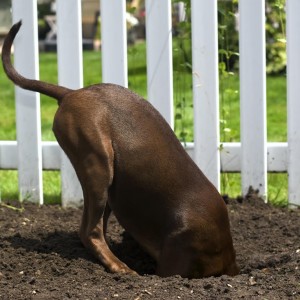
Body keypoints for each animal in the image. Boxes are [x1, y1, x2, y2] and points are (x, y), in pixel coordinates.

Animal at [1, 21, 238, 278]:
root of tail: (70, 93)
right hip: (98, 166)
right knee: (90, 232)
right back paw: (120, 266)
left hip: (105, 184)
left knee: (91, 230)